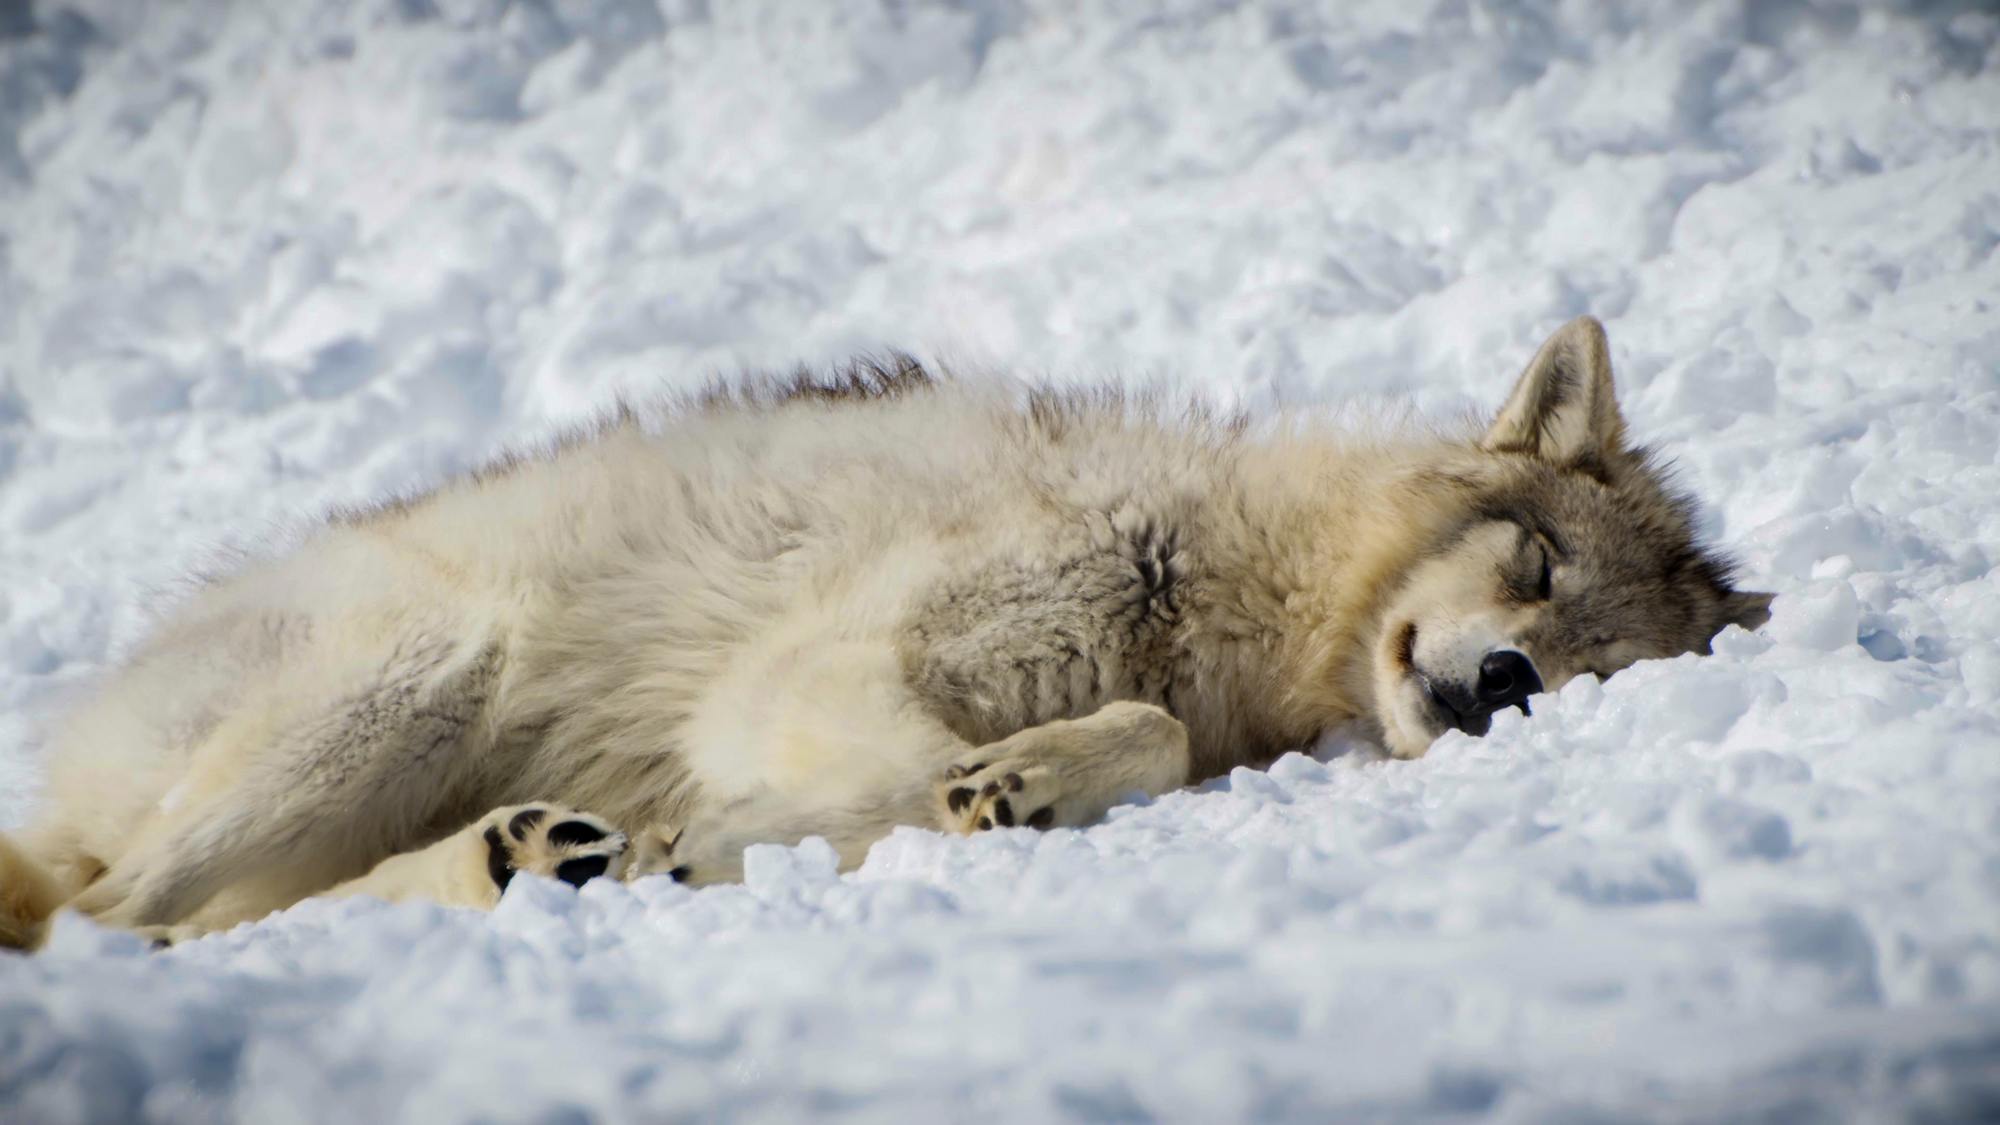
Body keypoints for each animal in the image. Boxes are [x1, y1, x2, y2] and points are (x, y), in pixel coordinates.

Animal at [0, 317, 1770, 948]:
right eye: (1535, 566)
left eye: (1599, 673)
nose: (1504, 686)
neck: (1200, 576)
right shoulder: (817, 670)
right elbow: (1059, 747)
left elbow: (1133, 742)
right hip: (418, 674)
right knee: (106, 917)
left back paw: (532, 858)